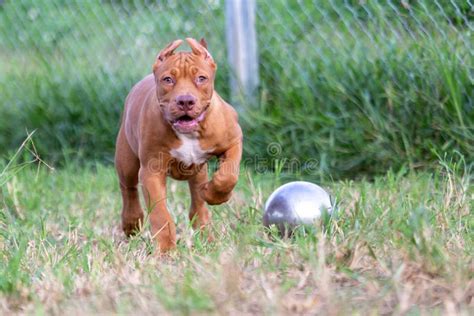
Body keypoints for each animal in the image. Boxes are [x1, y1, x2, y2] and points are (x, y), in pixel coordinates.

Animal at [113, 38, 243, 253]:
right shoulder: (151, 172)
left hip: (198, 171)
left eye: (201, 78)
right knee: (128, 188)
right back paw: (132, 222)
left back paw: (205, 232)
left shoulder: (234, 141)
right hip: (126, 160)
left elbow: (228, 175)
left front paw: (214, 194)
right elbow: (160, 214)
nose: (185, 101)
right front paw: (166, 249)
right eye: (168, 80)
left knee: (197, 202)